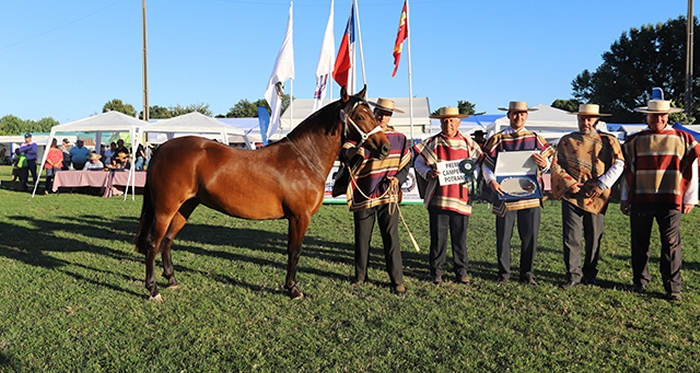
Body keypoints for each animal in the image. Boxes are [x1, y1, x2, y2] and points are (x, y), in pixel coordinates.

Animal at [134, 86, 392, 300]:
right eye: (360, 116)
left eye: (373, 115)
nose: (385, 148)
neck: (304, 159)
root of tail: (162, 149)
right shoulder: (299, 217)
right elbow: (294, 252)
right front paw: (293, 289)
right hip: (165, 209)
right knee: (153, 243)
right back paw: (153, 290)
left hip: (185, 207)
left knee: (167, 241)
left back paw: (171, 280)